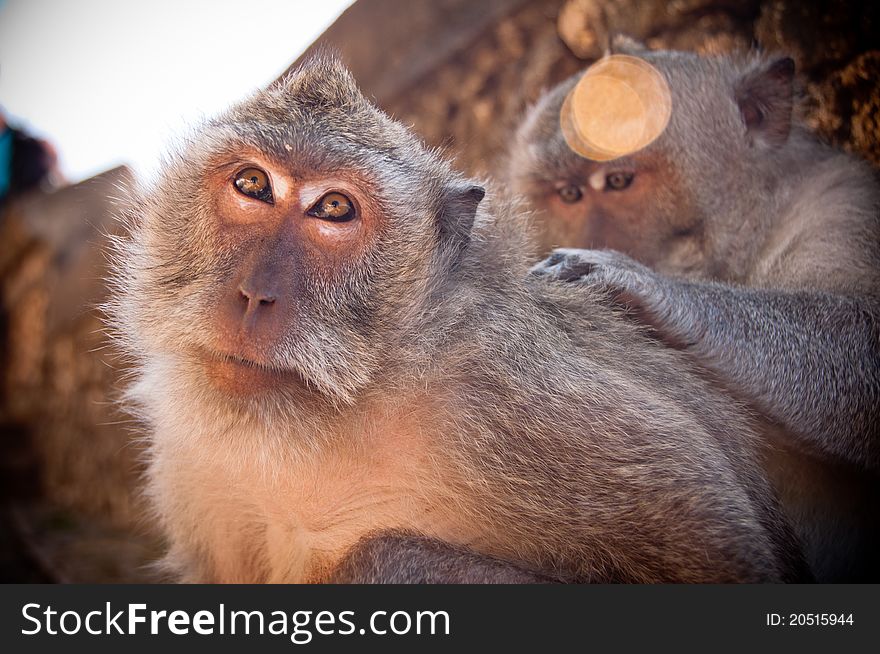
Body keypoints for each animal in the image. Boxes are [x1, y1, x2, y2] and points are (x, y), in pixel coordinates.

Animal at [105, 55, 812, 584]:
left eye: (333, 208)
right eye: (252, 185)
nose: (254, 294)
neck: (326, 413)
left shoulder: (510, 392)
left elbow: (713, 536)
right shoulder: (190, 458)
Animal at [508, 43, 880, 580]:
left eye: (618, 180)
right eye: (570, 194)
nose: (597, 238)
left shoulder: (842, 199)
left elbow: (862, 339)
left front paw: (635, 281)